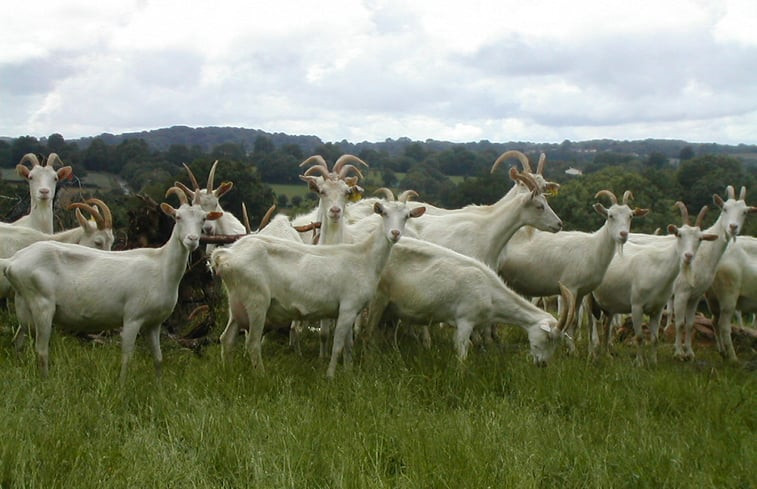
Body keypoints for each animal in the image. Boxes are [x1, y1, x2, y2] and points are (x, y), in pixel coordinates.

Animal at [1, 185, 221, 380]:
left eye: (203, 218)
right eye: (178, 217)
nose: (192, 239)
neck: (161, 266)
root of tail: (13, 261)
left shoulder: (154, 323)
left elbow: (158, 359)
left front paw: (159, 390)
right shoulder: (133, 317)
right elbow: (127, 357)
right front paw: (122, 389)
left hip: (24, 305)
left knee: (18, 340)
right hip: (42, 305)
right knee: (41, 350)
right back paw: (46, 382)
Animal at [211, 194, 426, 378]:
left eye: (407, 216)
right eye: (384, 213)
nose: (395, 234)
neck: (365, 257)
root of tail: (226, 257)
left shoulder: (351, 310)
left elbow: (348, 345)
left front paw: (348, 373)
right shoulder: (348, 307)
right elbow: (338, 344)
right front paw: (330, 375)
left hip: (237, 302)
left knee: (226, 338)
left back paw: (227, 371)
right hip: (257, 301)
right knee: (253, 343)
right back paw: (261, 376)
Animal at [360, 236, 572, 366]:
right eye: (548, 338)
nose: (542, 364)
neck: (490, 291)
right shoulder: (465, 320)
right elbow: (462, 351)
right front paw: (461, 376)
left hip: (392, 307)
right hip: (378, 299)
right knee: (368, 333)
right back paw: (370, 360)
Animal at [496, 188, 648, 350]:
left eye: (631, 216)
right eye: (610, 215)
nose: (623, 235)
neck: (593, 248)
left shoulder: (581, 292)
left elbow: (575, 320)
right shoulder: (571, 286)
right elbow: (572, 320)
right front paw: (572, 349)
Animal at [592, 200, 716, 364]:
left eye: (700, 239)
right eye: (679, 235)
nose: (688, 256)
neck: (658, 267)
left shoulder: (657, 309)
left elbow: (655, 338)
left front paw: (653, 362)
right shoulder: (636, 305)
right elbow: (639, 337)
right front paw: (639, 362)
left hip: (610, 303)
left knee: (607, 325)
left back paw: (606, 353)